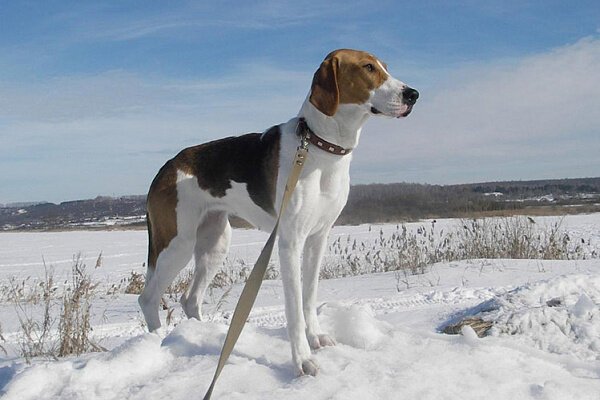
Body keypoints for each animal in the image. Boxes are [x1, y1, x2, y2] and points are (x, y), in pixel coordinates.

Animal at [139, 48, 420, 376]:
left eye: (385, 67)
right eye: (368, 68)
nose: (413, 94)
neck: (321, 148)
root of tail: (167, 166)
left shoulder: (317, 238)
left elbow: (309, 296)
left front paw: (317, 337)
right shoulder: (290, 242)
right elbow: (294, 307)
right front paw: (303, 360)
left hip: (215, 243)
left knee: (190, 299)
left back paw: (205, 336)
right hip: (178, 244)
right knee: (148, 298)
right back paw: (157, 342)